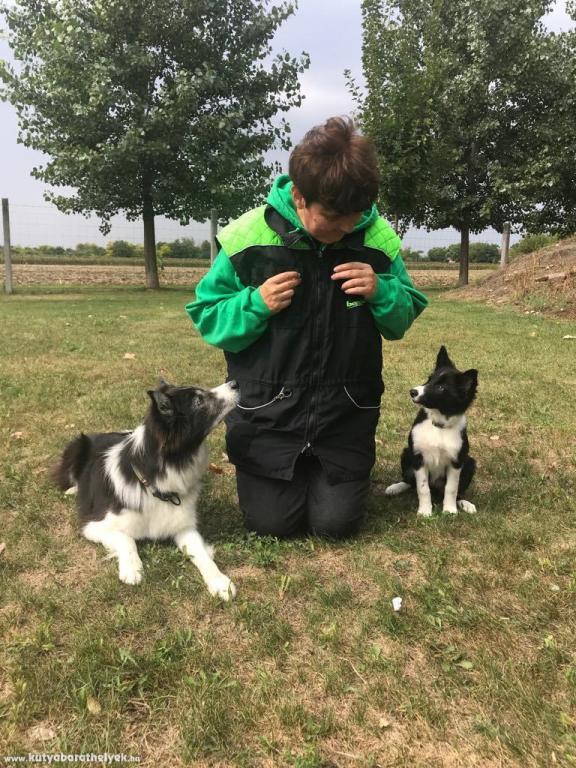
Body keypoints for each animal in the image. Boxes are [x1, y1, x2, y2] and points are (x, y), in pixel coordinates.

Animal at [53, 379, 239, 599]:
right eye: (198, 401)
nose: (234, 383)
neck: (154, 484)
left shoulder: (183, 526)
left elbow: (201, 554)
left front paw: (220, 582)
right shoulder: (94, 526)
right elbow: (126, 539)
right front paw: (132, 569)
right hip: (77, 445)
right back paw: (72, 490)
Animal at [385, 346, 478, 516]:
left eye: (441, 388)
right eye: (429, 379)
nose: (413, 391)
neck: (438, 424)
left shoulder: (456, 461)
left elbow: (451, 488)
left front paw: (449, 510)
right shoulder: (418, 457)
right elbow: (422, 488)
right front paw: (425, 512)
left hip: (469, 463)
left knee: (457, 492)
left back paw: (465, 504)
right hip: (406, 453)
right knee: (410, 481)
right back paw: (396, 488)